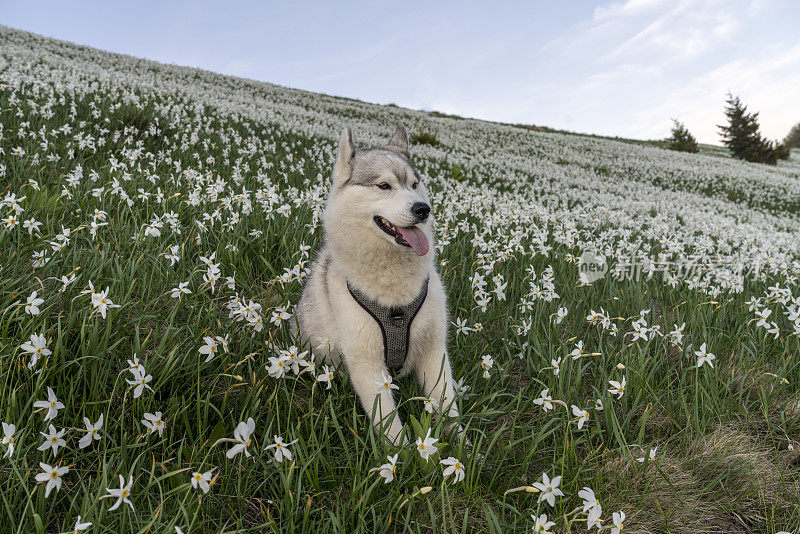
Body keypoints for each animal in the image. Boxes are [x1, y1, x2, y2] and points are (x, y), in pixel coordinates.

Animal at [296, 124, 460, 444]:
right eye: (384, 186)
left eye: (414, 184)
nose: (423, 209)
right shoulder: (366, 362)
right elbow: (390, 427)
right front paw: (403, 456)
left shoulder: (434, 350)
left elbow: (448, 408)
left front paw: (464, 449)